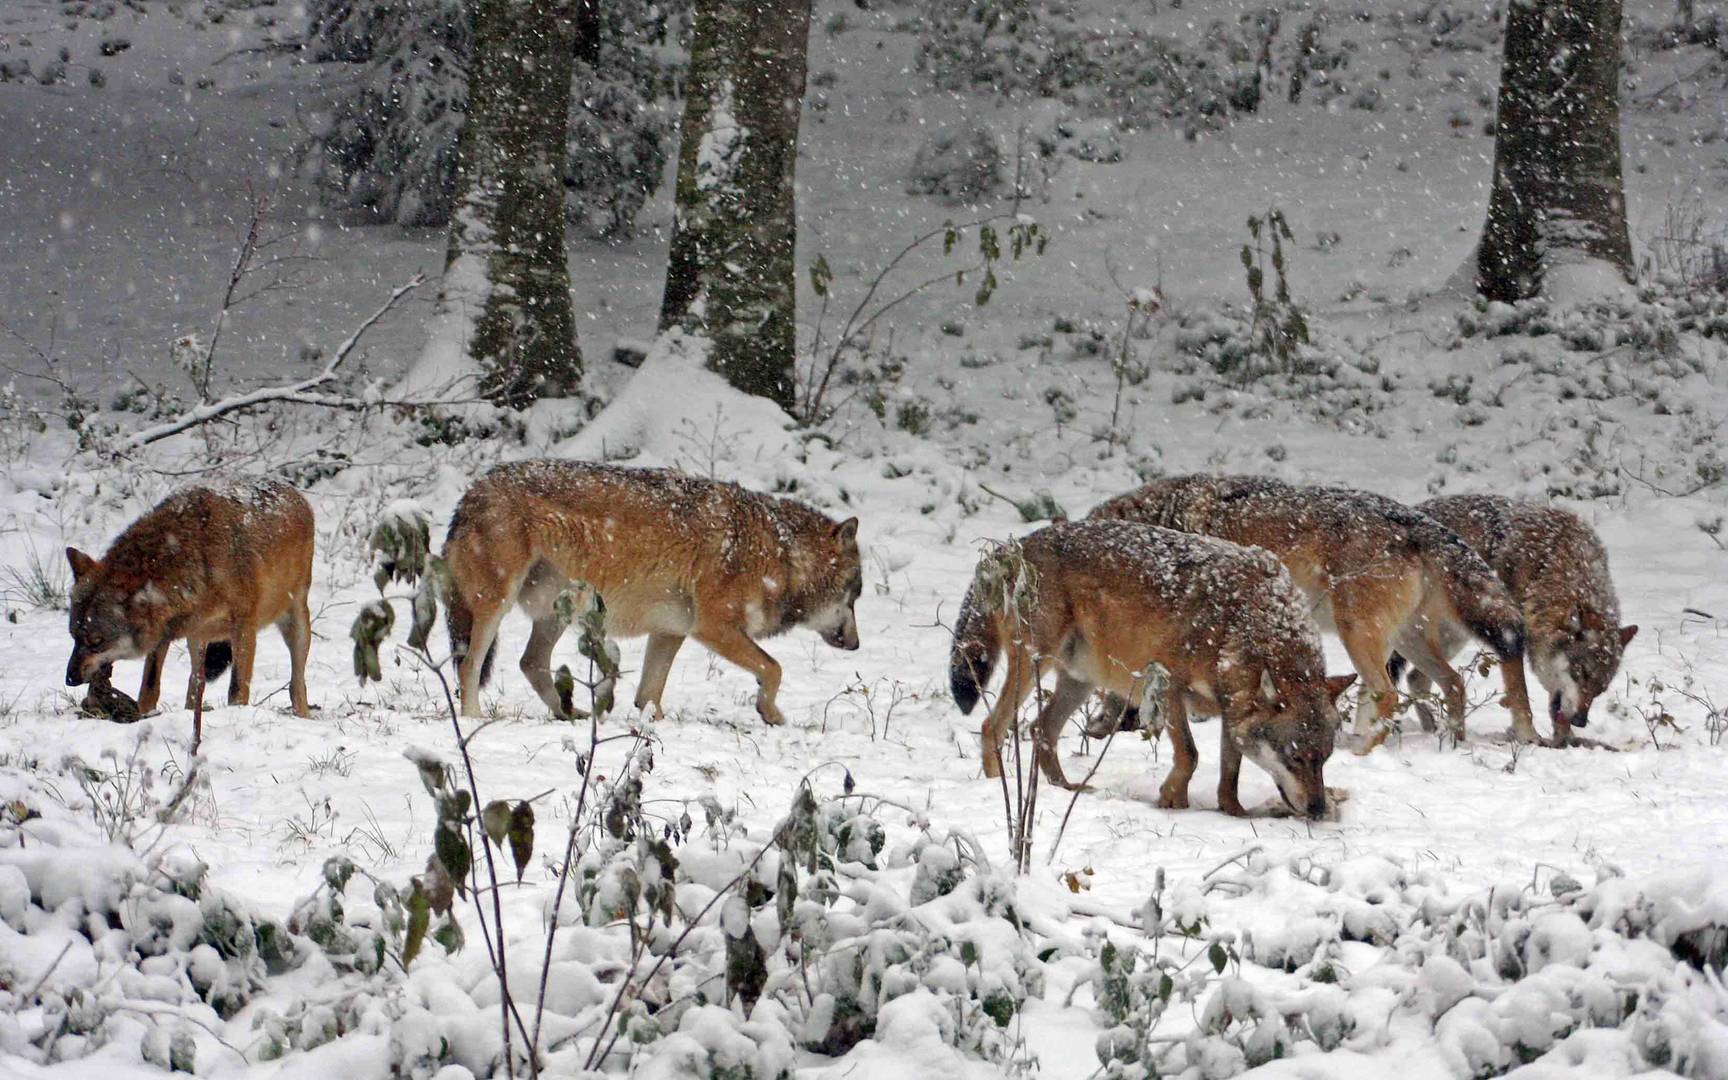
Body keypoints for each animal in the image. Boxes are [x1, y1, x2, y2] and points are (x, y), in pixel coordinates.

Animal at [64, 476, 314, 715]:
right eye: (74, 636)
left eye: (97, 641)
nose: (70, 678)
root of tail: (296, 493)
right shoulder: (163, 633)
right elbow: (149, 687)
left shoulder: (244, 627)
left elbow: (237, 689)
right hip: (198, 639)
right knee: (194, 683)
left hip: (297, 625)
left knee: (297, 685)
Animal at [445, 459, 864, 725]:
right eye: (854, 595)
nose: (857, 644)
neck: (779, 554)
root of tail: (470, 492)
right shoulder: (713, 628)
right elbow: (774, 668)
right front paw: (770, 712)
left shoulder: (670, 631)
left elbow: (648, 694)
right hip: (496, 606)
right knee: (470, 665)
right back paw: (473, 718)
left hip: (559, 610)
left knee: (530, 663)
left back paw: (569, 714)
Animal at [953, 521, 1354, 815]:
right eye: (1296, 757)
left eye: (1325, 758)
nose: (1318, 810)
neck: (1238, 624)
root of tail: (1014, 546)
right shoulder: (1166, 684)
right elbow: (1189, 755)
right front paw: (1172, 801)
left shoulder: (1230, 707)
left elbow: (1231, 771)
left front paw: (1234, 812)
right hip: (1035, 665)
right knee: (992, 727)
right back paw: (998, 787)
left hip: (1080, 681)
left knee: (1040, 730)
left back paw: (1065, 788)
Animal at [1085, 476, 1534, 746]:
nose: (1093, 731)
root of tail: (1416, 520)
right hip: (1405, 641)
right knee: (1451, 684)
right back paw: (1448, 742)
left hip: (1359, 633)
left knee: (1388, 694)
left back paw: (1359, 748)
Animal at [1396, 494, 1638, 739]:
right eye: (1581, 673)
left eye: (1601, 688)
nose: (1580, 721)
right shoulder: (1509, 636)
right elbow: (1520, 694)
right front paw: (1528, 736)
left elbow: (1556, 705)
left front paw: (1567, 738)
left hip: (1449, 637)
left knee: (1417, 678)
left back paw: (1431, 728)